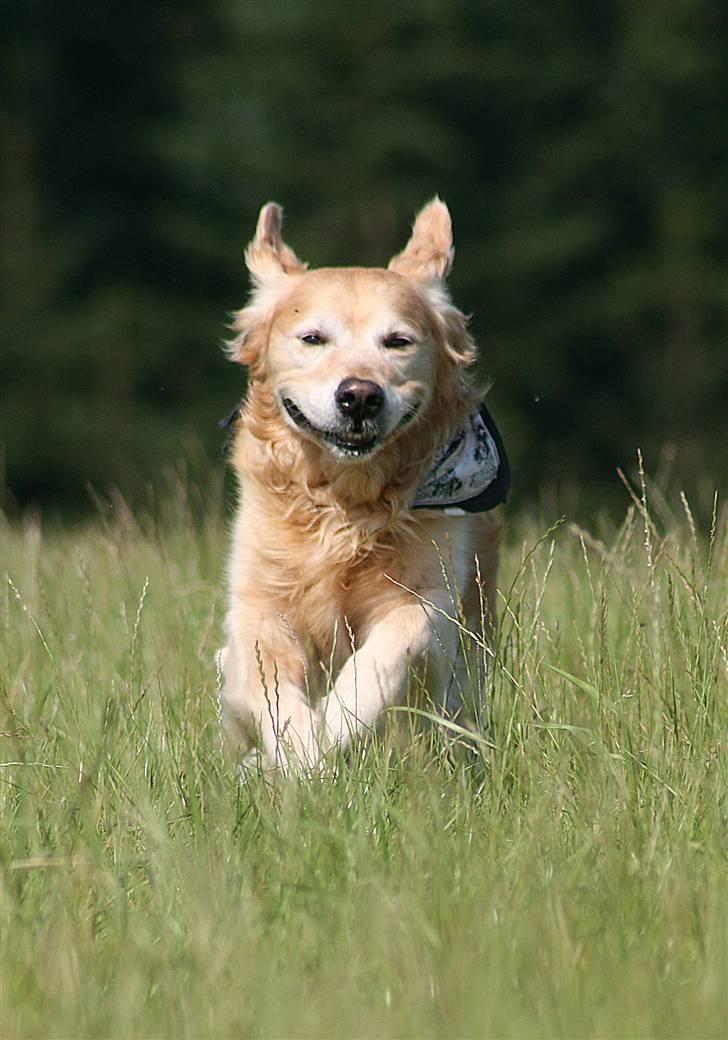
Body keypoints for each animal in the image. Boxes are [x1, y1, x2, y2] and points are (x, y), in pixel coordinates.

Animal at [219, 198, 509, 769]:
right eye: (312, 338)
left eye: (398, 342)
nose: (359, 396)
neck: (345, 504)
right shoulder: (258, 603)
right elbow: (270, 681)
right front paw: (299, 753)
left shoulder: (432, 597)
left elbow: (390, 649)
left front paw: (332, 730)